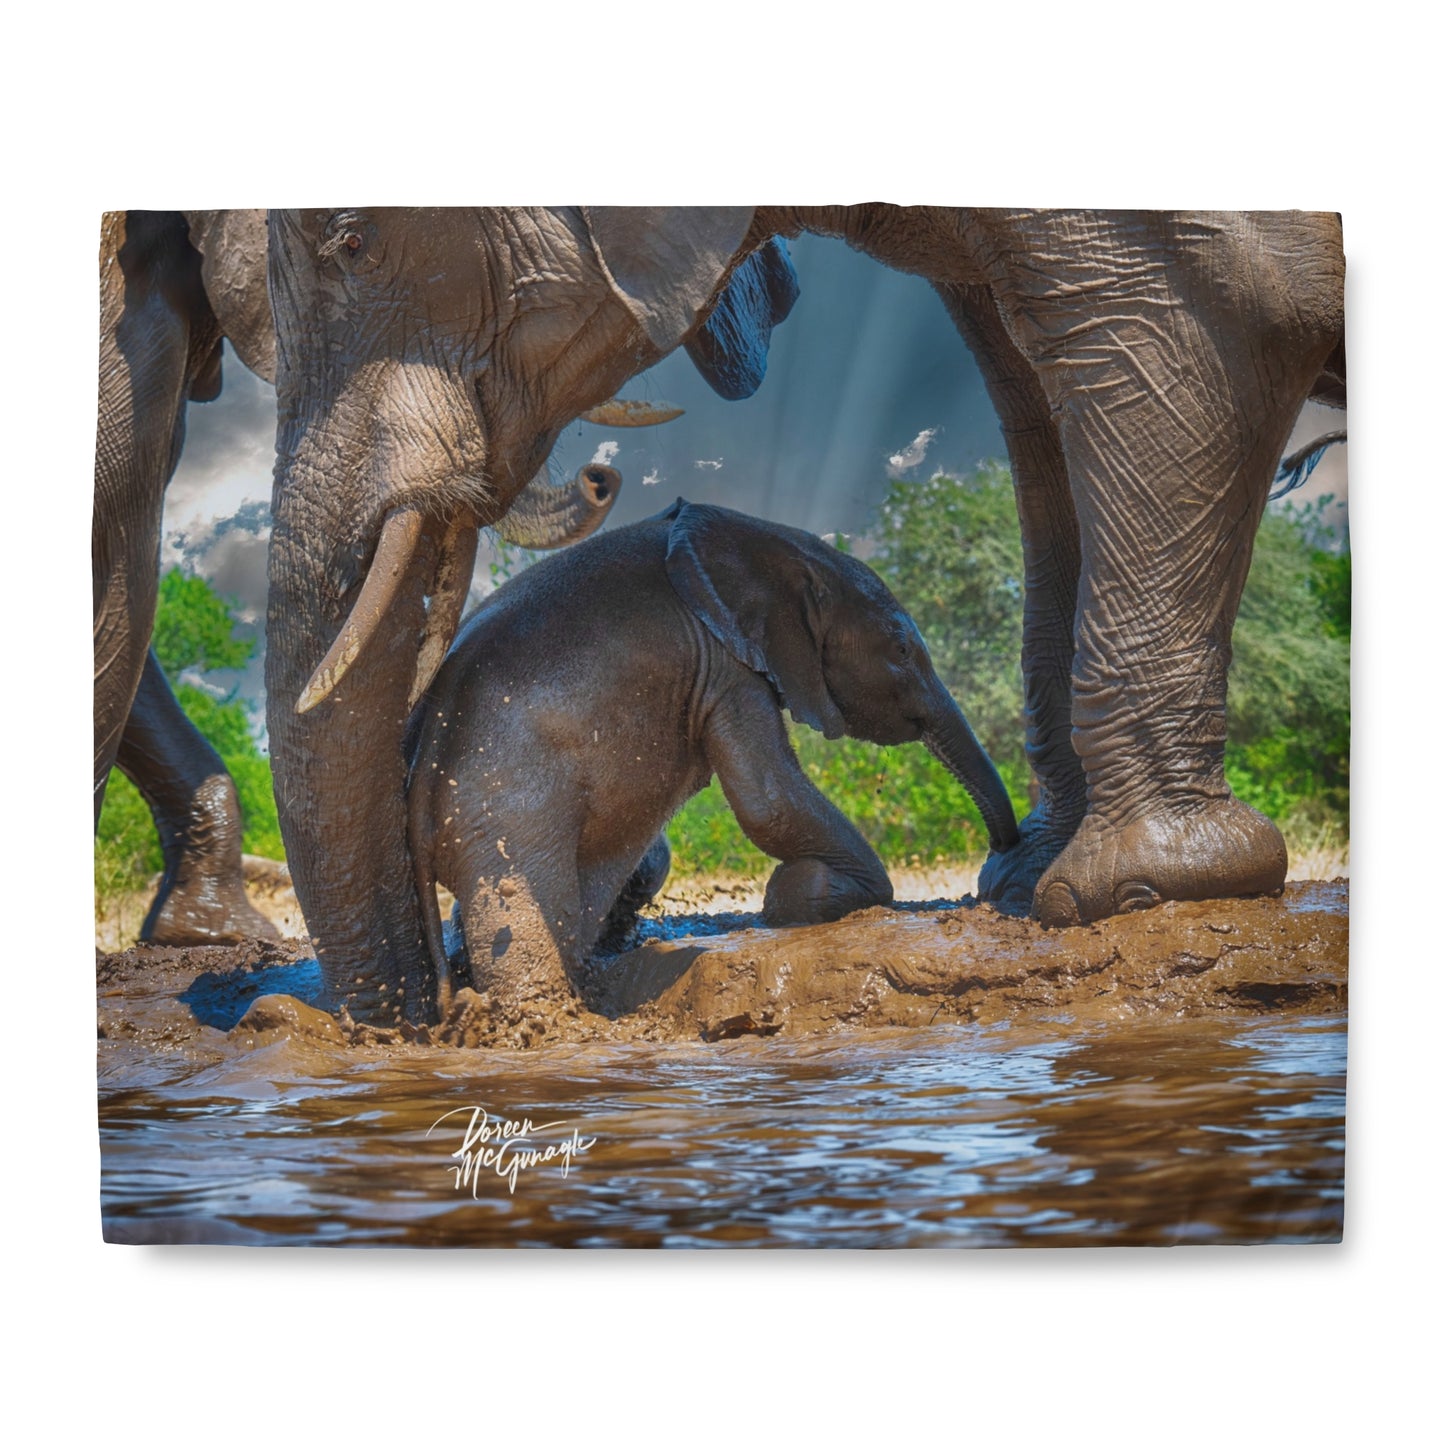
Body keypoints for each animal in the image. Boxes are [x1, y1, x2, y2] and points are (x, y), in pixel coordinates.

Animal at [406, 499, 1020, 1007]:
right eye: (902, 649)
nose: (1001, 855)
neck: (769, 544)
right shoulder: (726, 664)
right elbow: (768, 799)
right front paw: (816, 894)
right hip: (505, 817)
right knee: (528, 935)